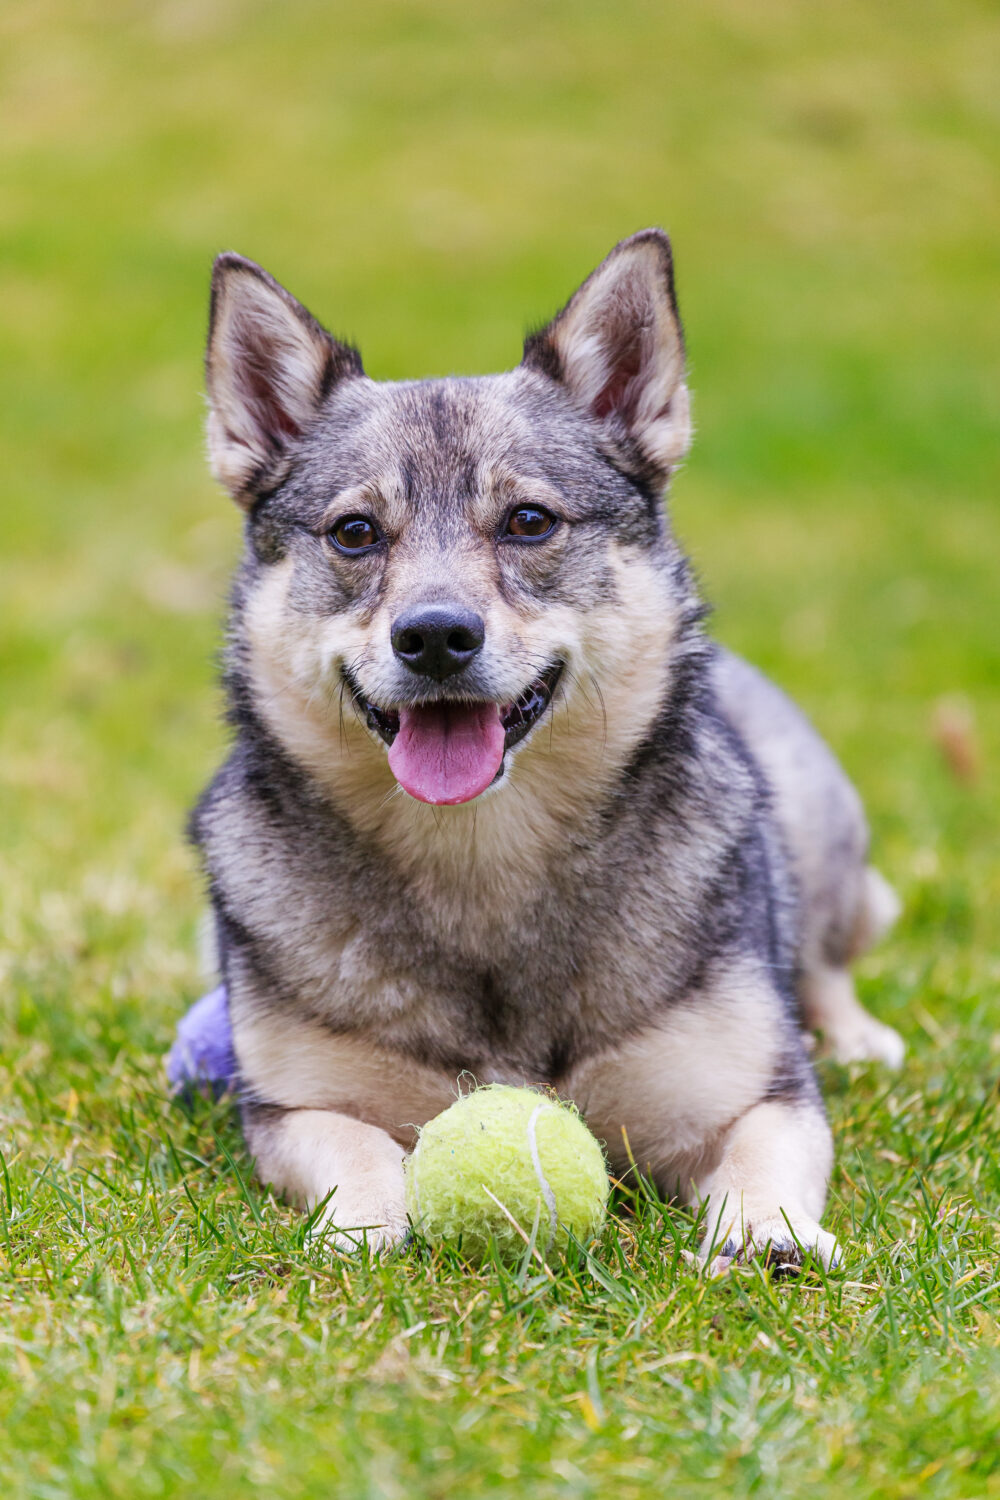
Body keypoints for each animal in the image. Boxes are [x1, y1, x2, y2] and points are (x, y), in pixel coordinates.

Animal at [191, 228, 905, 1272]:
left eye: (528, 521)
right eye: (355, 534)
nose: (435, 636)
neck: (482, 860)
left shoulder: (760, 1096)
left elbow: (761, 1158)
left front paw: (765, 1234)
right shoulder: (293, 1104)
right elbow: (356, 1148)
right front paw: (364, 1224)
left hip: (821, 829)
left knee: (825, 960)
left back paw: (858, 1038)